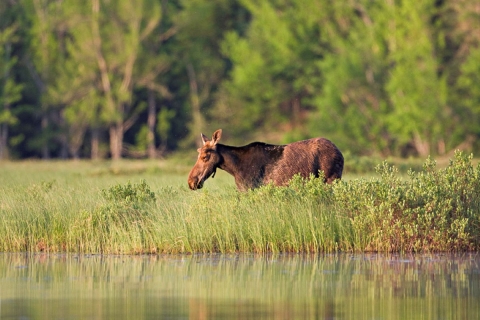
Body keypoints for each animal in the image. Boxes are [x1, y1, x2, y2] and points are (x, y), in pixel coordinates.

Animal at [188, 129, 344, 191]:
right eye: (197, 152)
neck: (235, 168)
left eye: (204, 156)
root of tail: (340, 153)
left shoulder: (249, 189)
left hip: (331, 179)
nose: (191, 182)